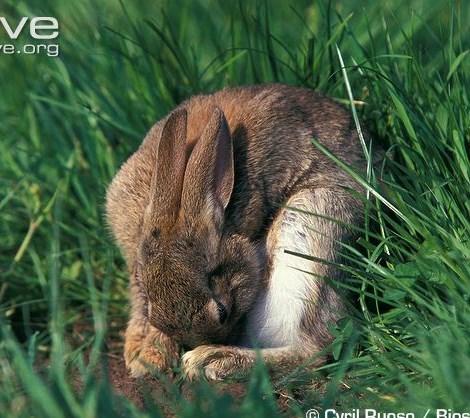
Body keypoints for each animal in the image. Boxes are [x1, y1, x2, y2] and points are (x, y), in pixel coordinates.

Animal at [106, 83, 368, 380]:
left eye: (223, 311)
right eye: (154, 312)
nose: (221, 337)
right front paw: (146, 357)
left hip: (307, 227)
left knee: (315, 350)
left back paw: (213, 359)